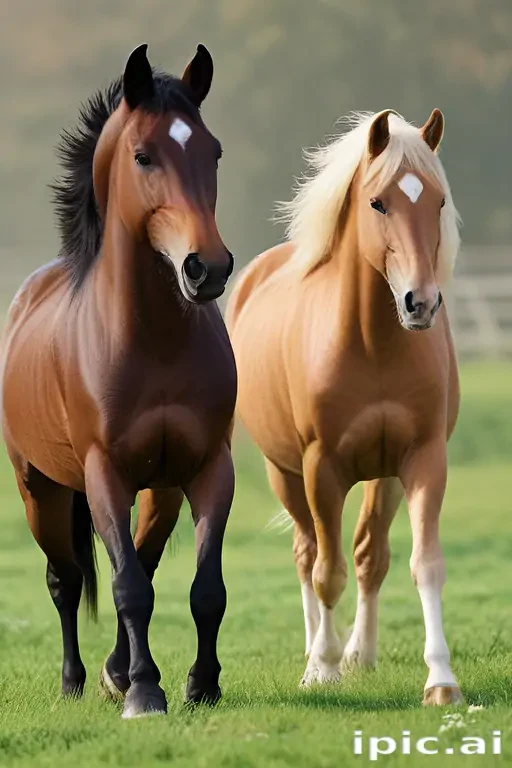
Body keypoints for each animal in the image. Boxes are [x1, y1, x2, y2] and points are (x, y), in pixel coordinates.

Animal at [1, 43, 237, 719]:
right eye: (143, 155)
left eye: (213, 151)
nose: (207, 268)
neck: (153, 341)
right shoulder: (102, 472)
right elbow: (126, 585)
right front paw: (145, 692)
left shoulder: (210, 467)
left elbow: (203, 588)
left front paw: (200, 685)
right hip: (40, 489)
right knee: (66, 579)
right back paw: (77, 680)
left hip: (159, 490)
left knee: (143, 559)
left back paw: (112, 670)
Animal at [226, 109, 463, 706]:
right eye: (378, 202)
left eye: (438, 201)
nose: (420, 303)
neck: (371, 344)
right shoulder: (321, 467)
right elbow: (325, 571)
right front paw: (323, 671)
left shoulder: (423, 459)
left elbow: (421, 564)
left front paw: (441, 679)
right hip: (285, 473)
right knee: (308, 554)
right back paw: (317, 652)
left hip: (384, 477)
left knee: (368, 556)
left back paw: (361, 653)